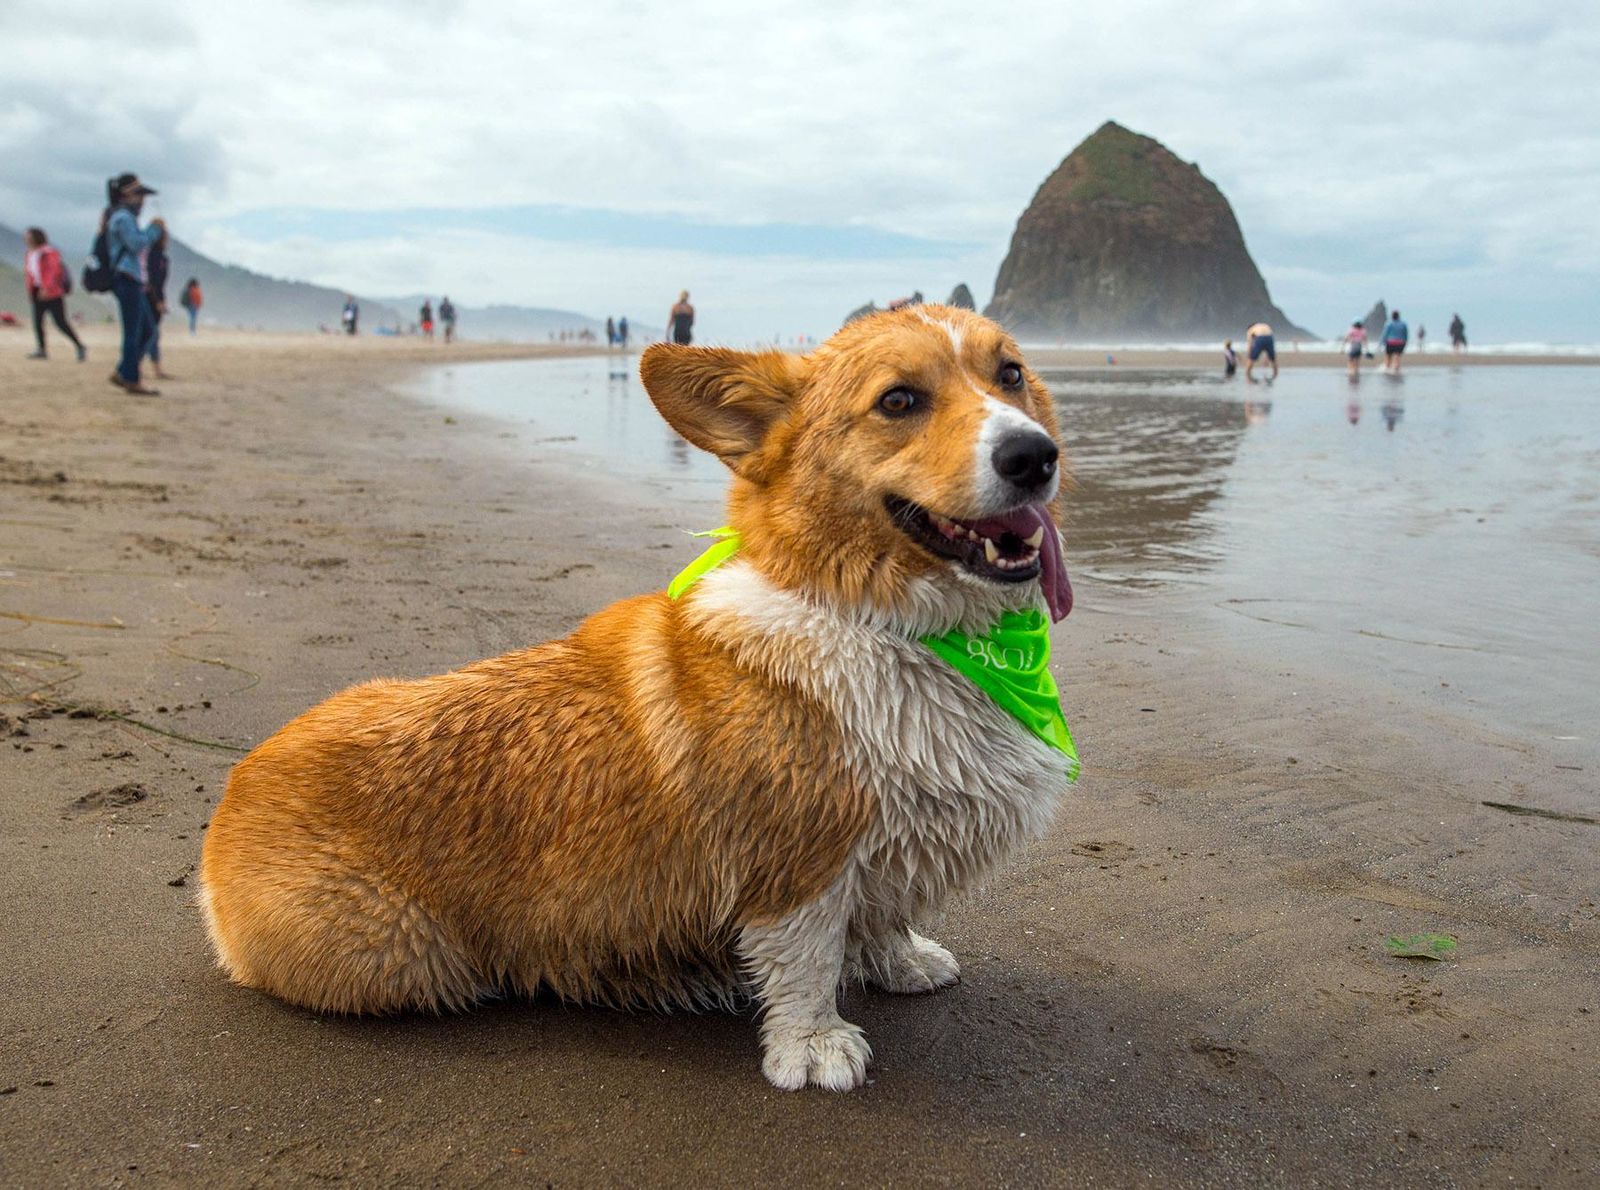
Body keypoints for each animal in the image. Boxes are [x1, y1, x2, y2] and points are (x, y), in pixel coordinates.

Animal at [200, 303, 1075, 1087]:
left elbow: (886, 914)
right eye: (898, 401)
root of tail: (231, 796)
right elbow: (806, 960)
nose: (1035, 456)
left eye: (1010, 374)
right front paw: (814, 1046)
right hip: (400, 958)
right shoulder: (798, 858)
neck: (883, 621)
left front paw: (902, 959)